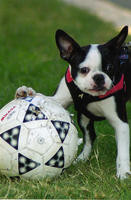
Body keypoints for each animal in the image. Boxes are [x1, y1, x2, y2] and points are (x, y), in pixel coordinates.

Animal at [15, 25, 130, 179]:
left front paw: (123, 172)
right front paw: (26, 91)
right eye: (84, 70)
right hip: (83, 117)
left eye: (110, 68)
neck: (88, 95)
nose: (99, 77)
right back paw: (81, 159)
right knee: (89, 136)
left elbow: (122, 149)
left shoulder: (120, 122)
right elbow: (46, 98)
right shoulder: (59, 100)